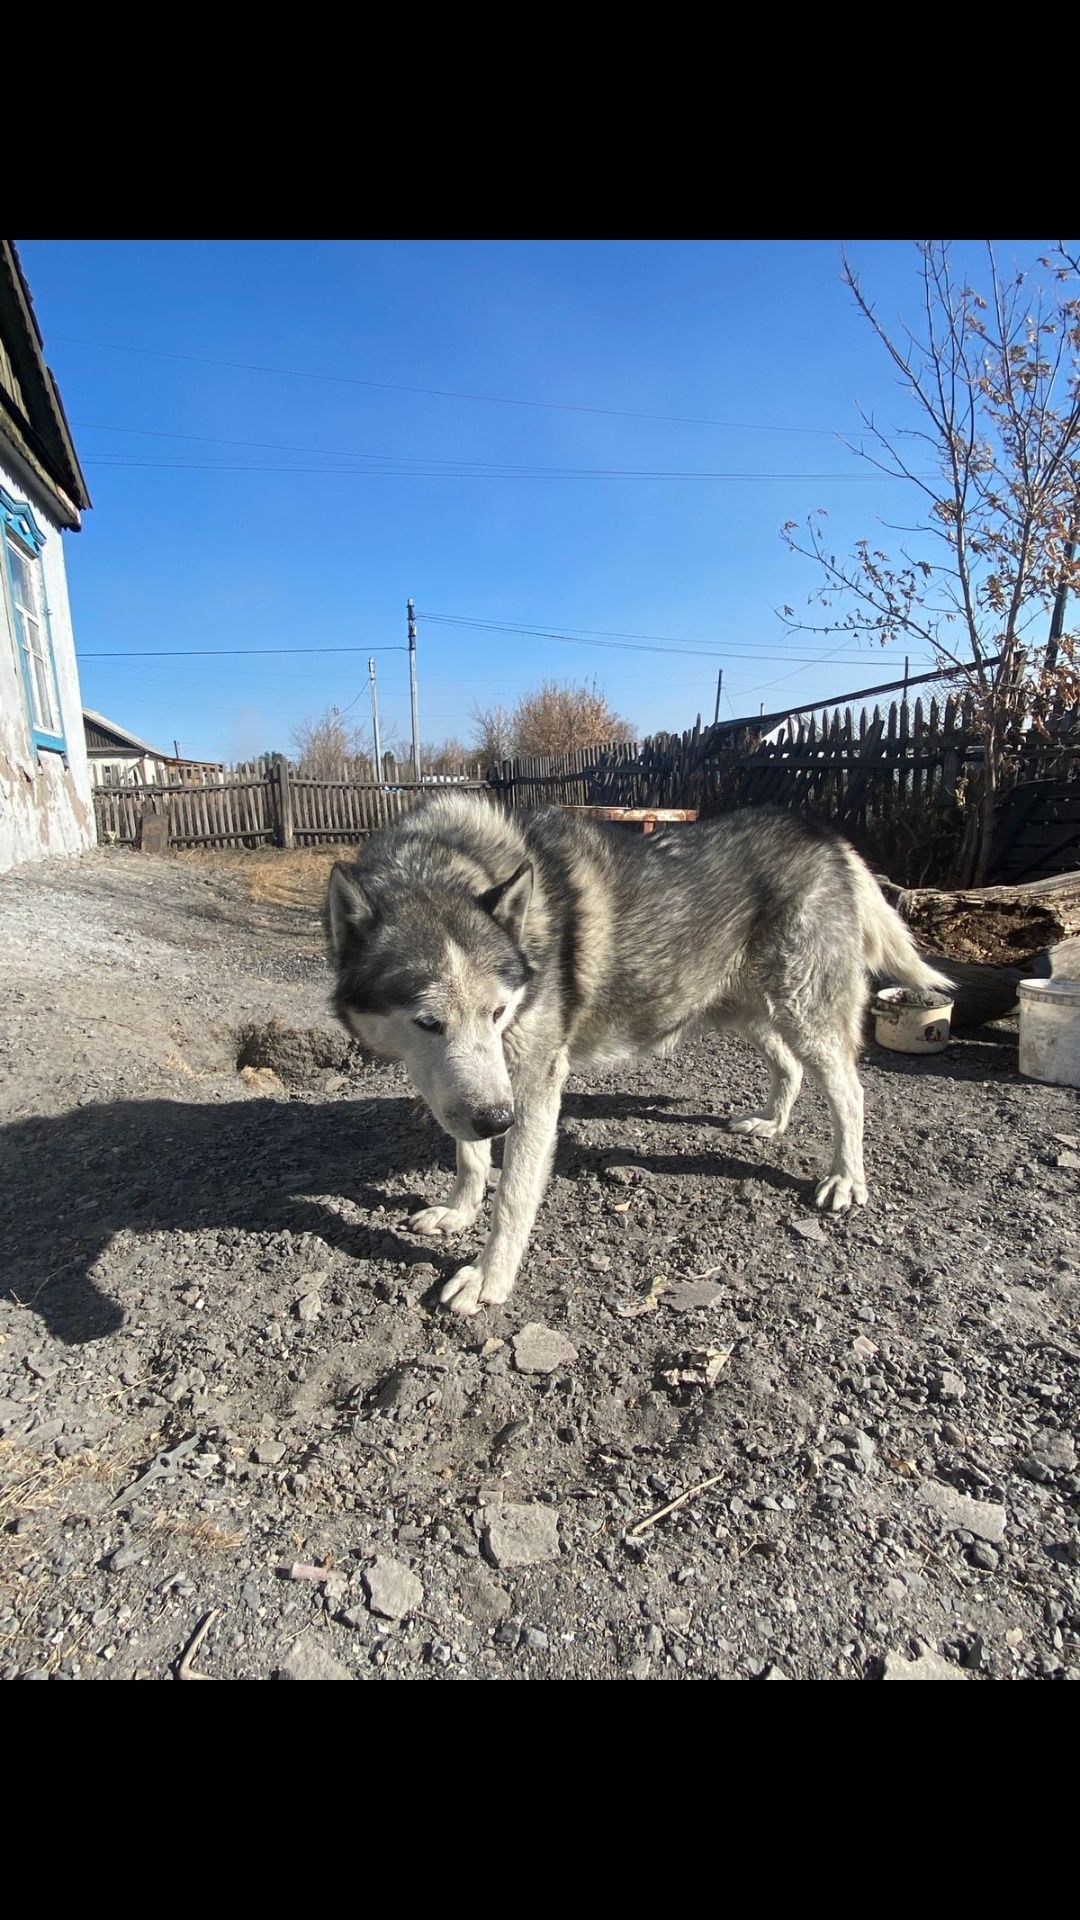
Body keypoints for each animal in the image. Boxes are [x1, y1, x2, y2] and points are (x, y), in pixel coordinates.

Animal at [326, 794, 941, 1320]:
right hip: (744, 1009)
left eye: (497, 1012)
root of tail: (825, 835)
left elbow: (514, 1197)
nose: (499, 1121)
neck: (445, 863)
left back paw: (845, 1178)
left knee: (850, 1092)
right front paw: (459, 1210)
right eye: (429, 1023)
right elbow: (470, 1155)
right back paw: (771, 1121)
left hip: (803, 1010)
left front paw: (488, 1278)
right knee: (786, 1064)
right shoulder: (466, 1088)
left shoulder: (530, 1083)